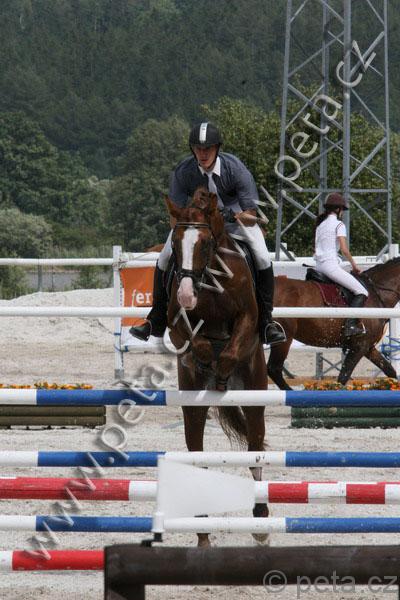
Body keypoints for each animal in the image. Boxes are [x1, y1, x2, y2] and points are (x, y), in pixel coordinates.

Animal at [165, 187, 268, 547]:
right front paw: (203, 358)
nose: (185, 295)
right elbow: (196, 342)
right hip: (192, 409)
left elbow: (228, 353)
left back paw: (261, 523)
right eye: (175, 241)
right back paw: (202, 534)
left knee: (255, 453)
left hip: (256, 395)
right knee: (198, 457)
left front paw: (219, 369)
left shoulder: (247, 318)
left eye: (206, 244)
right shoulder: (176, 324)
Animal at [268, 260, 400, 390]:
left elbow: (390, 371)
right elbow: (343, 377)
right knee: (274, 369)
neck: (376, 293)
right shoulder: (359, 346)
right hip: (285, 337)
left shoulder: (368, 347)